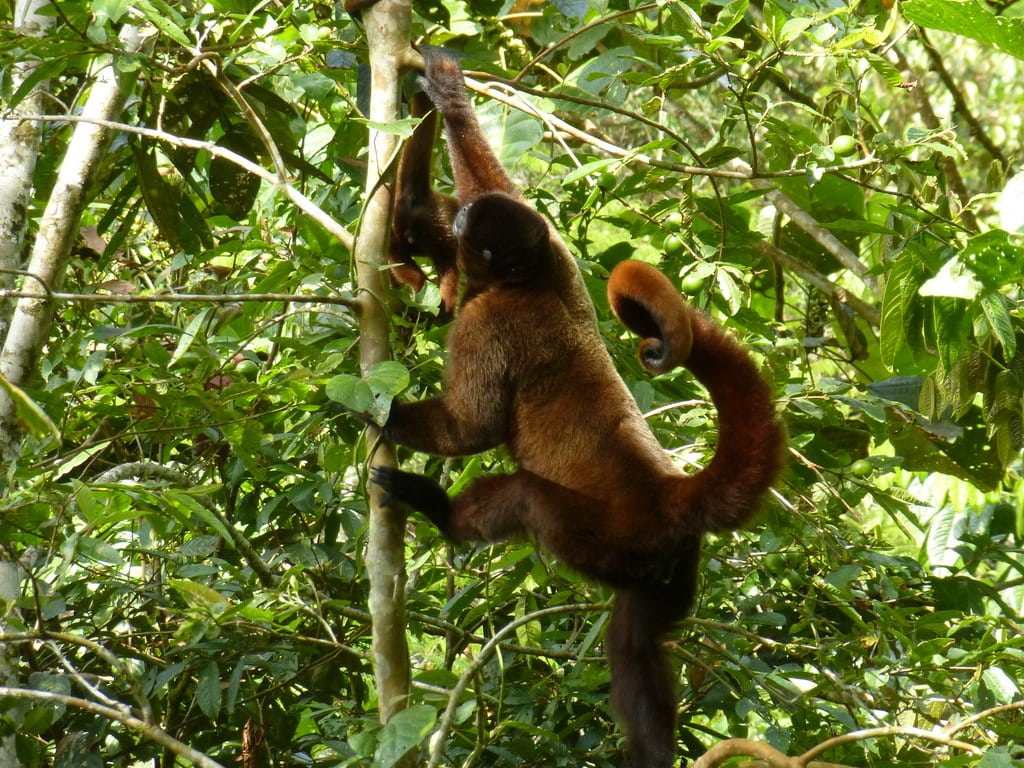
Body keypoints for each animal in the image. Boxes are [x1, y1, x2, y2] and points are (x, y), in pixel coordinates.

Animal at [372, 49, 786, 768]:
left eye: (475, 226)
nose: (460, 217)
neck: (525, 283)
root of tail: (665, 491)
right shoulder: (558, 259)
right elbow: (504, 183)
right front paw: (446, 98)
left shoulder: (488, 322)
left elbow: (472, 425)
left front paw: (385, 409)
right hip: (666, 569)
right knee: (636, 641)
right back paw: (653, 749)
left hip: (601, 536)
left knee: (527, 499)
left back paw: (441, 511)